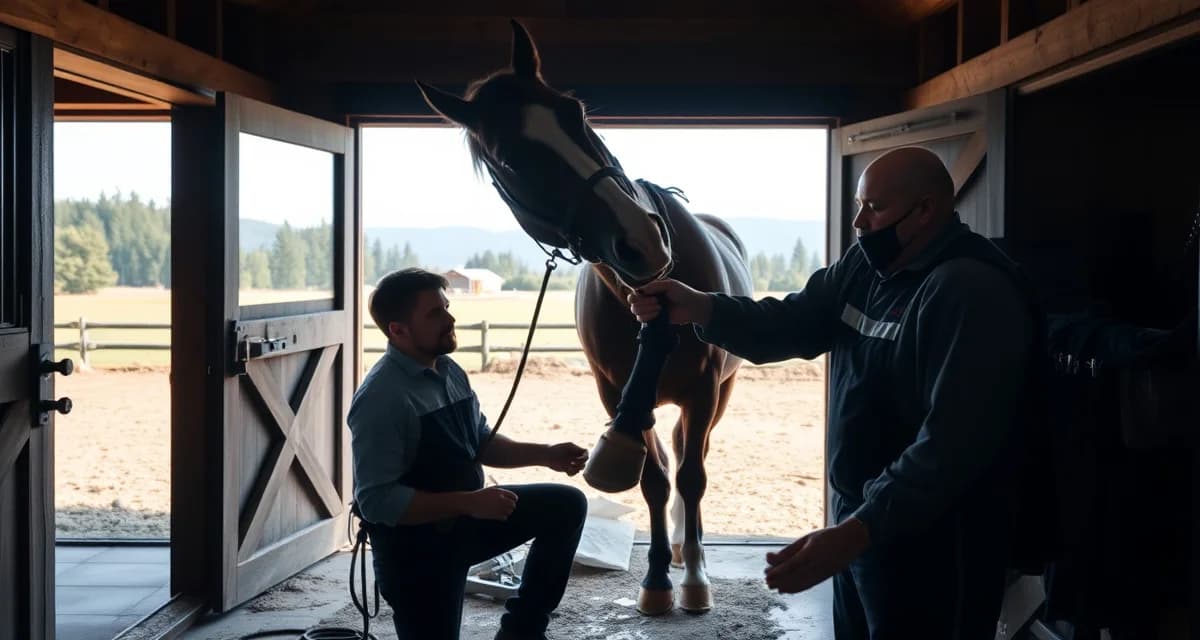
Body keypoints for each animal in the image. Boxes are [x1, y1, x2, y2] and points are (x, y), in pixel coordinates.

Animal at [417, 20, 753, 615]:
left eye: (574, 113)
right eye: (509, 161)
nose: (641, 240)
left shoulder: (704, 391)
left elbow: (691, 478)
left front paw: (693, 580)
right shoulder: (618, 394)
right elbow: (654, 482)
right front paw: (657, 581)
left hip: (719, 396)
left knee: (693, 459)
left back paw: (691, 551)